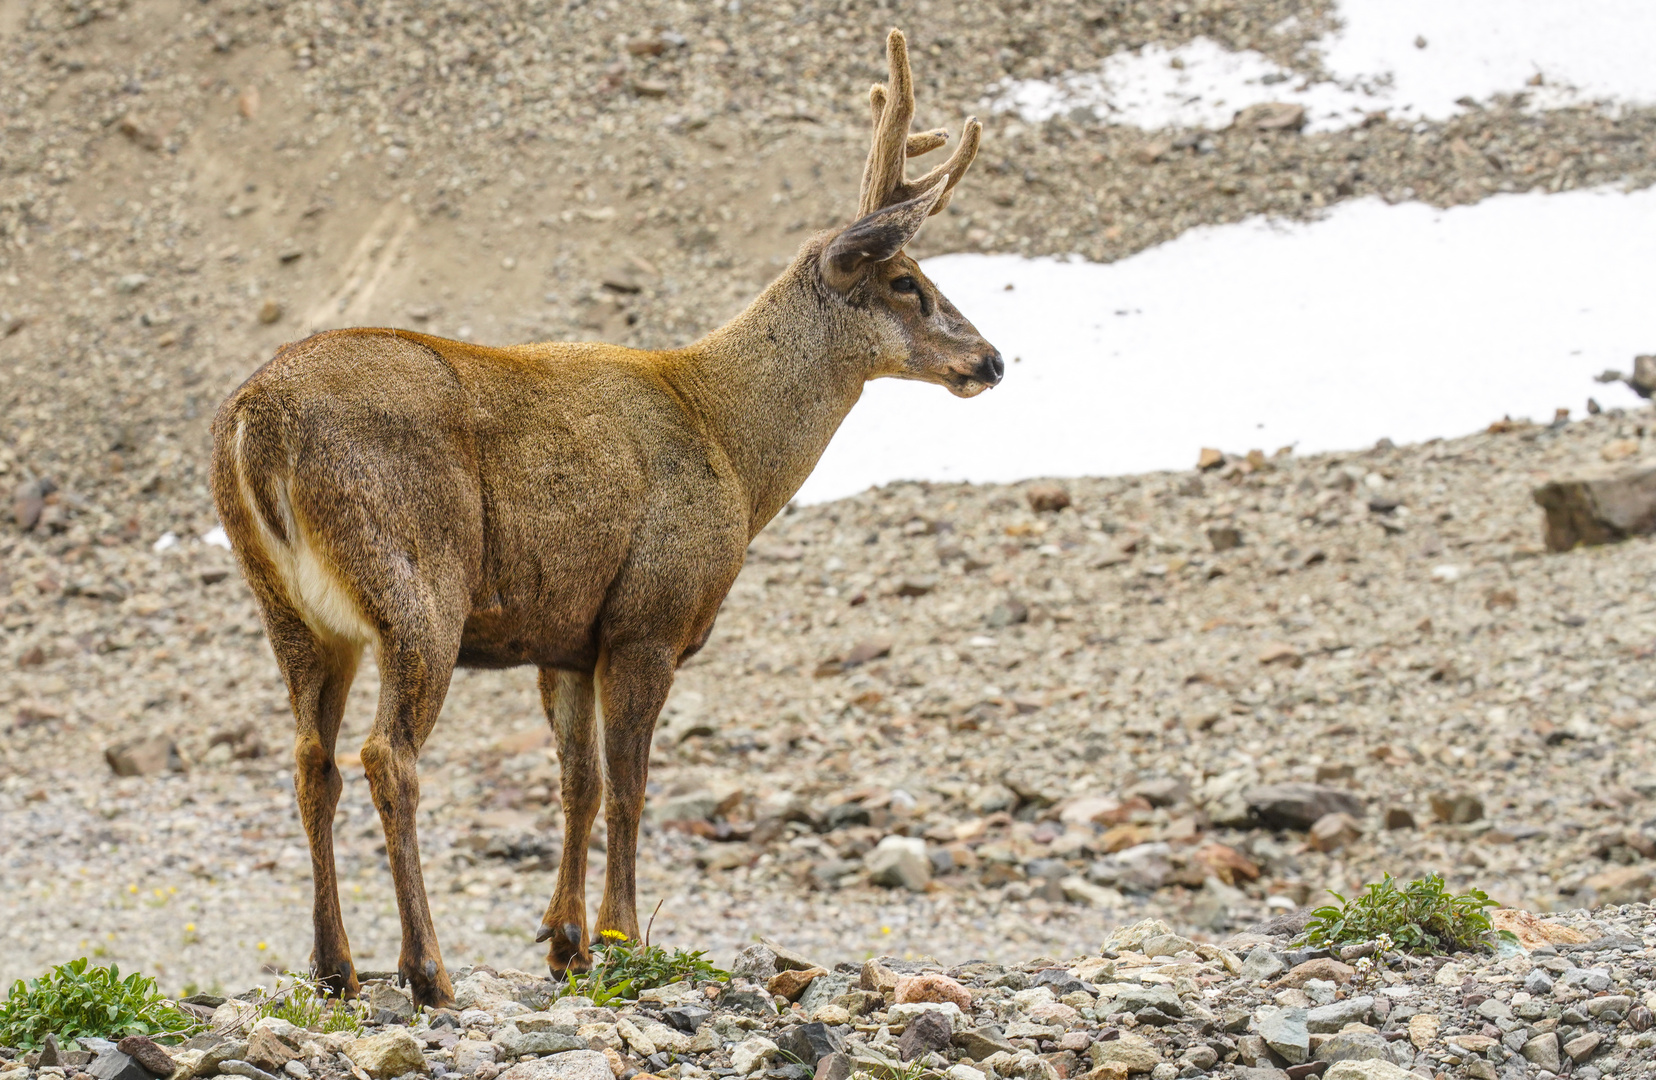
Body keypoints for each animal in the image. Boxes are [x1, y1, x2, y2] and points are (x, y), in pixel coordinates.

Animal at [213, 25, 1000, 1007]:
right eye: (904, 281)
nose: (991, 359)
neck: (729, 442)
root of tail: (255, 421)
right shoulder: (649, 616)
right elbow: (630, 785)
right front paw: (624, 936)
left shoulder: (566, 636)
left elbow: (578, 784)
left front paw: (566, 941)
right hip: (414, 580)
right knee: (386, 756)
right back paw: (426, 969)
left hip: (290, 610)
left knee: (309, 760)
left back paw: (335, 969)